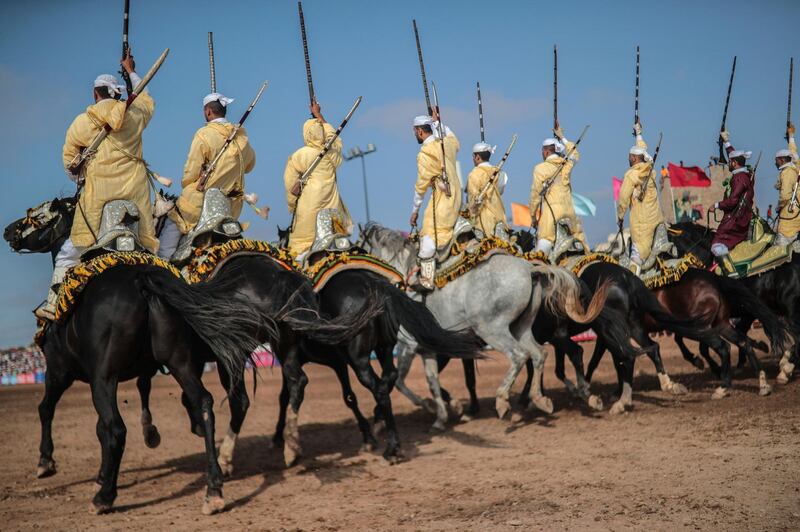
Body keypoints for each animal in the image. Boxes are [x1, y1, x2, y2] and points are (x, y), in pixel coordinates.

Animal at [356, 222, 608, 430]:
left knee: (520, 356)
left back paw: (504, 402)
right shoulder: (427, 349)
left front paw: (429, 406)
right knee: (538, 355)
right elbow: (432, 381)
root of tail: (530, 270)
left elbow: (400, 382)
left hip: (492, 330)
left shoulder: (407, 346)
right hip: (521, 328)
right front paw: (440, 417)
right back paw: (540, 399)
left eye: (358, 248)